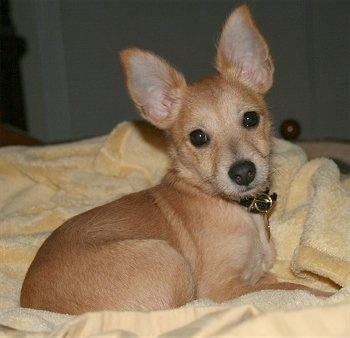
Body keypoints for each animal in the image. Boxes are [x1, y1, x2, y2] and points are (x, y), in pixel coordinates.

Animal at [19, 4, 328, 314]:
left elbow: (279, 280)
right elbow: (294, 287)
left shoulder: (258, 273)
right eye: (198, 137)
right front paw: (328, 293)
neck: (234, 207)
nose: (243, 172)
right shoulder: (223, 287)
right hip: (169, 259)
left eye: (251, 119)